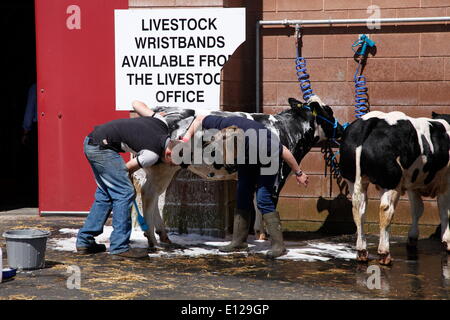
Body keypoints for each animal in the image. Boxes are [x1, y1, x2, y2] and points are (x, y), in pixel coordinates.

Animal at [134, 96, 344, 249]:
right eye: (330, 111)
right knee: (149, 194)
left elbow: (256, 203)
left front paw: (259, 234)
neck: (286, 130)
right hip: (162, 168)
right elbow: (268, 204)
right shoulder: (278, 176)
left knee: (155, 197)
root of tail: (158, 111)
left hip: (165, 169)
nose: (342, 130)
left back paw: (162, 235)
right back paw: (153, 239)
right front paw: (268, 238)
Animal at [342, 110, 450, 264]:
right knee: (386, 211)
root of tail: (372, 120)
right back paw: (384, 253)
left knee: (359, 210)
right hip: (391, 182)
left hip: (354, 180)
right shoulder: (445, 182)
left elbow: (417, 209)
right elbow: (444, 211)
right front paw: (447, 241)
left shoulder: (413, 186)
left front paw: (412, 238)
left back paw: (362, 251)